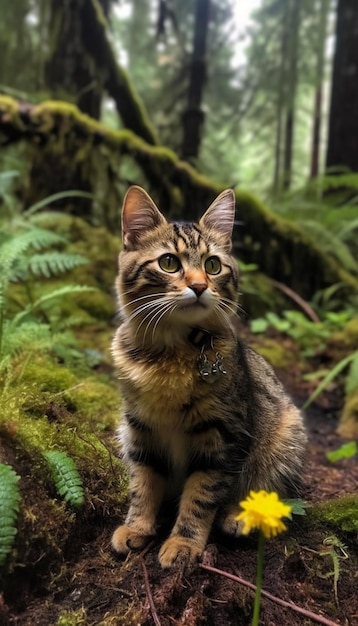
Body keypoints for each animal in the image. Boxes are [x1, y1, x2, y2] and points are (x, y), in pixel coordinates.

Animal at [110, 184, 306, 564]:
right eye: (169, 262)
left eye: (213, 265)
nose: (200, 286)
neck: (170, 355)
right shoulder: (139, 430)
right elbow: (143, 484)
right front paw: (137, 527)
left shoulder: (223, 437)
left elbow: (201, 497)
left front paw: (184, 543)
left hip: (284, 437)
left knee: (263, 490)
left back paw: (237, 517)